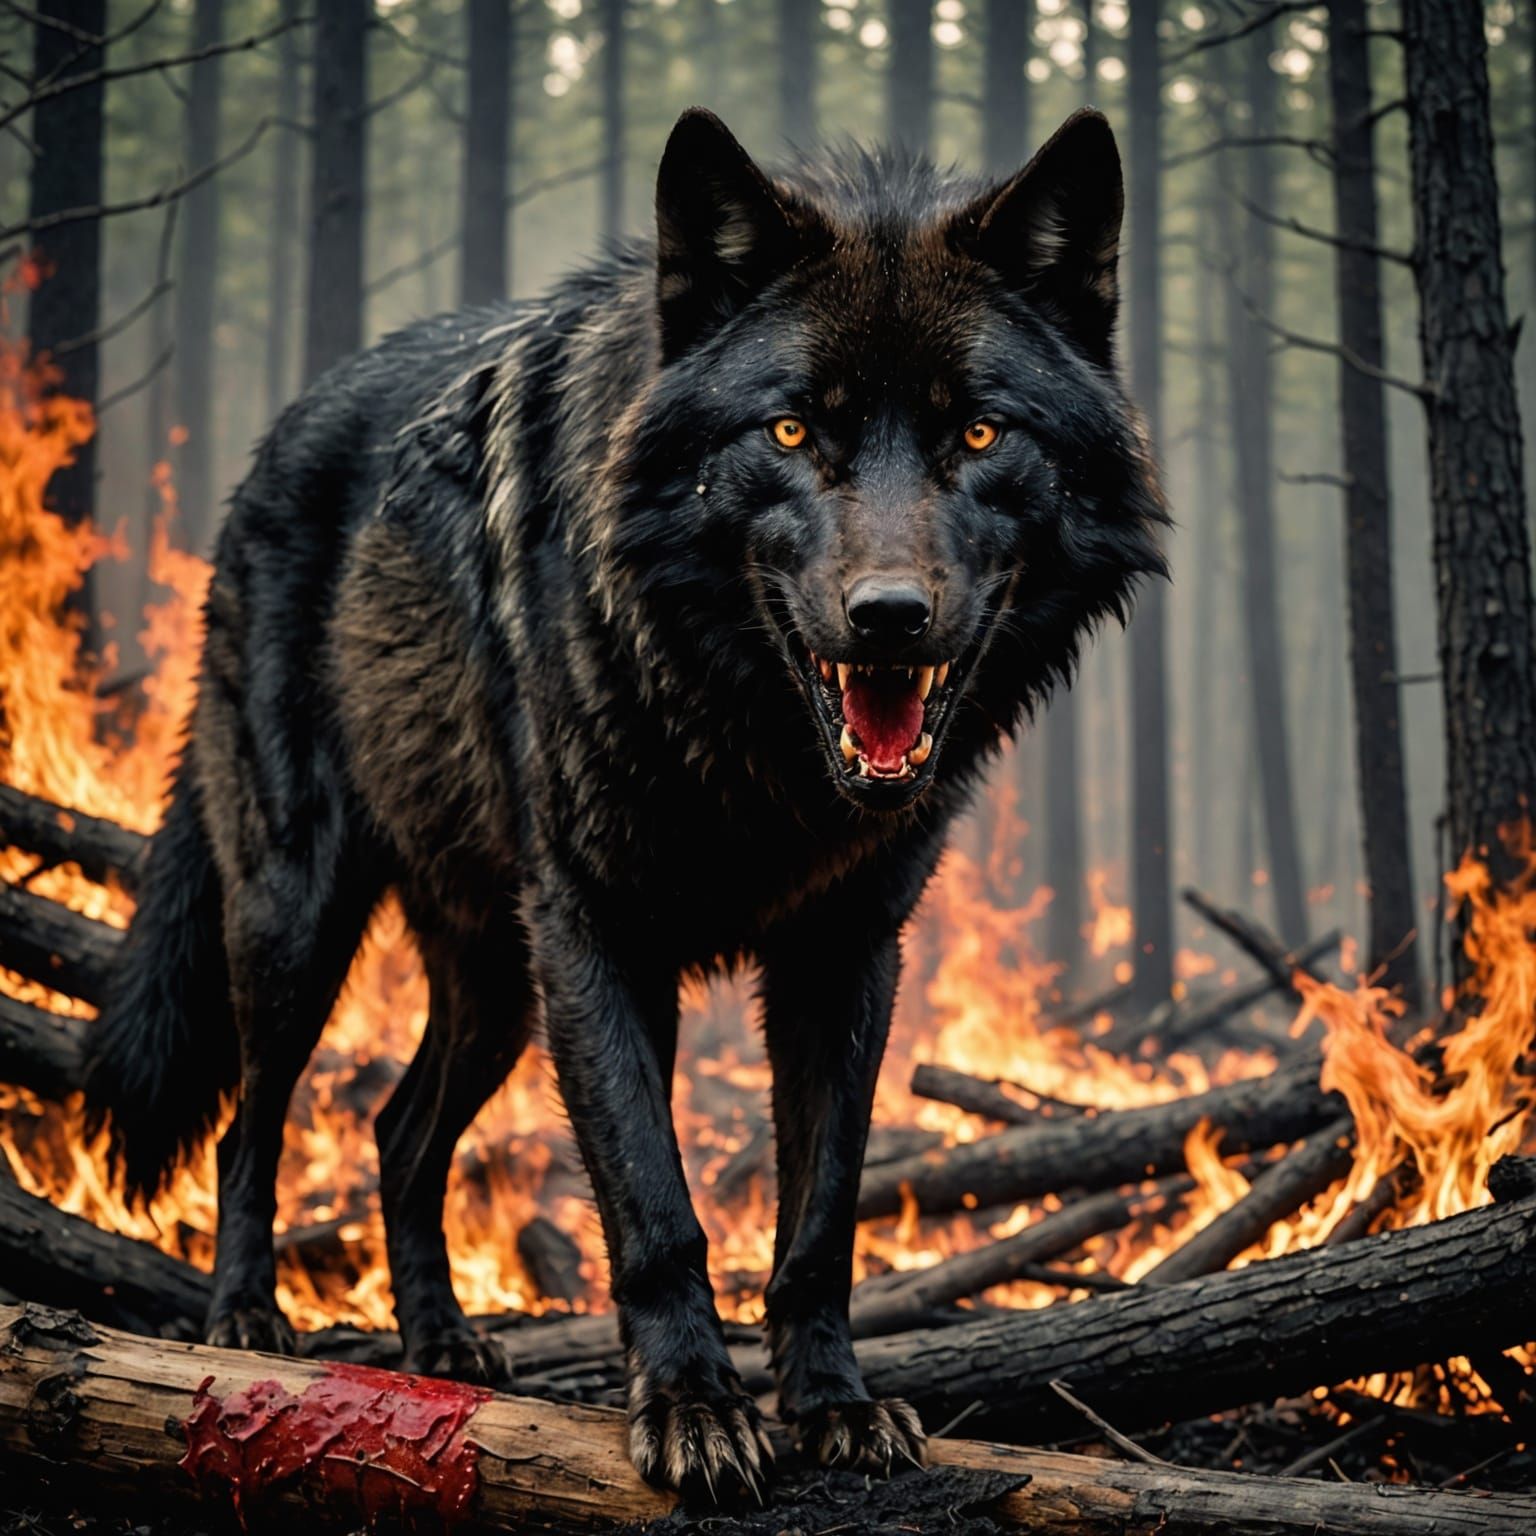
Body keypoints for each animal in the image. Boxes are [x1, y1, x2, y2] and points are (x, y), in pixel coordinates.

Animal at [83, 106, 1164, 1498]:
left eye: (977, 434)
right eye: (791, 432)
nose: (889, 619)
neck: (747, 745)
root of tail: (279, 434)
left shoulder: (845, 954)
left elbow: (821, 1215)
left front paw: (832, 1404)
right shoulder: (599, 937)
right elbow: (656, 1210)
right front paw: (697, 1411)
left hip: (496, 984)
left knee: (397, 1132)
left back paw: (440, 1344)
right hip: (301, 925)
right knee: (250, 1125)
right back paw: (243, 1319)